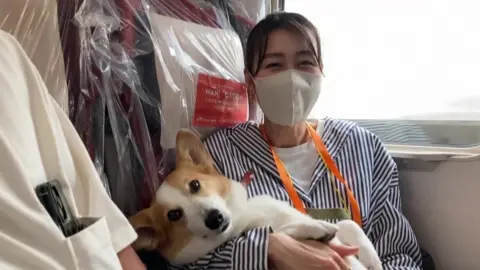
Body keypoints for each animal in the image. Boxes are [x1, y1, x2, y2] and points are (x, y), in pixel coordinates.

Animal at [128, 130, 382, 268]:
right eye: (173, 215)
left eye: (195, 185)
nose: (214, 218)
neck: (244, 216)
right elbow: (281, 233)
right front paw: (315, 229)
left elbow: (347, 223)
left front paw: (371, 257)